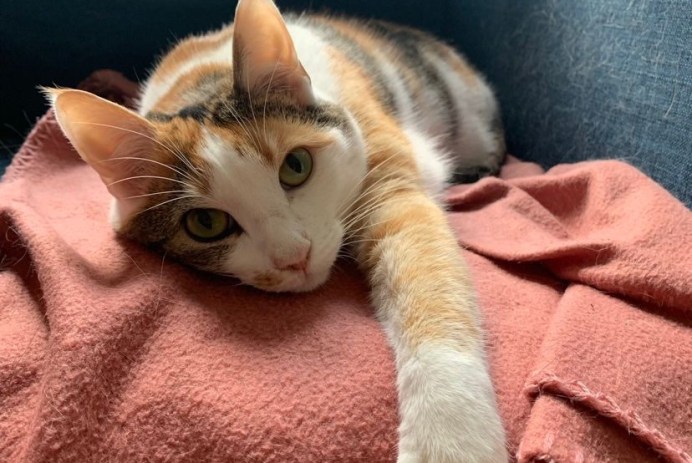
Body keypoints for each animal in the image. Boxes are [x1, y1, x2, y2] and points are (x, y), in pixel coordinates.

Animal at [46, 0, 507, 461]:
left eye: (296, 165)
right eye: (206, 223)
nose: (295, 256)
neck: (200, 79)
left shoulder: (388, 173)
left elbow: (427, 278)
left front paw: (450, 435)